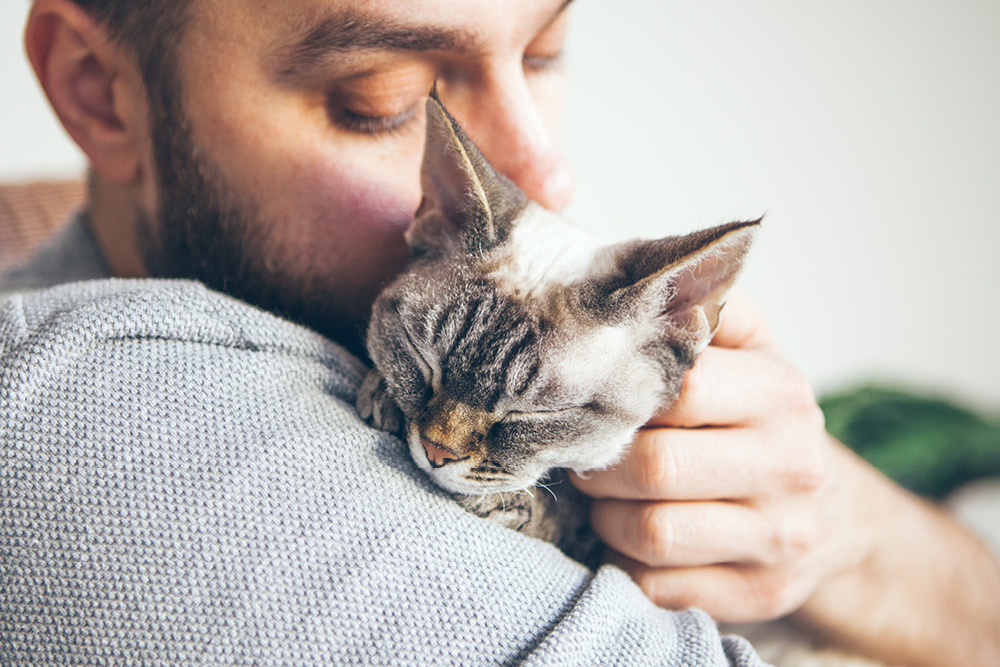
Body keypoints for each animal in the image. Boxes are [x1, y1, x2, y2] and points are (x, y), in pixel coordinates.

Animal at [360, 92, 756, 564]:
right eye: (422, 358)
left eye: (536, 414)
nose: (438, 451)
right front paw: (383, 393)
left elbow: (564, 512)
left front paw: (517, 504)